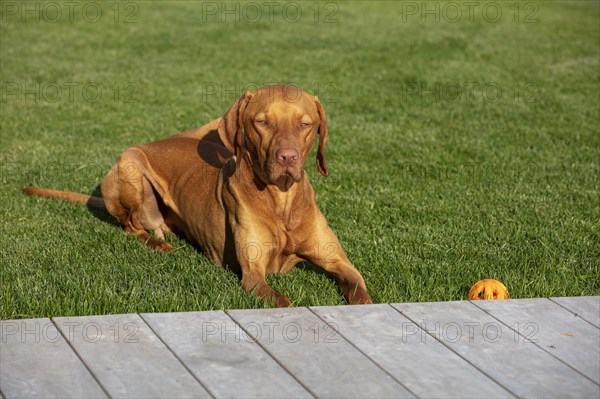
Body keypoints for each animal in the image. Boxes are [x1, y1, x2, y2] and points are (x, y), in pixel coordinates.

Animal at [24, 86, 370, 308]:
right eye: (262, 121)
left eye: (306, 124)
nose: (288, 158)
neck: (281, 200)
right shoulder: (253, 276)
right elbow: (284, 302)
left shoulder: (340, 263)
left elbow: (361, 292)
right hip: (130, 165)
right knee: (132, 226)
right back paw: (158, 244)